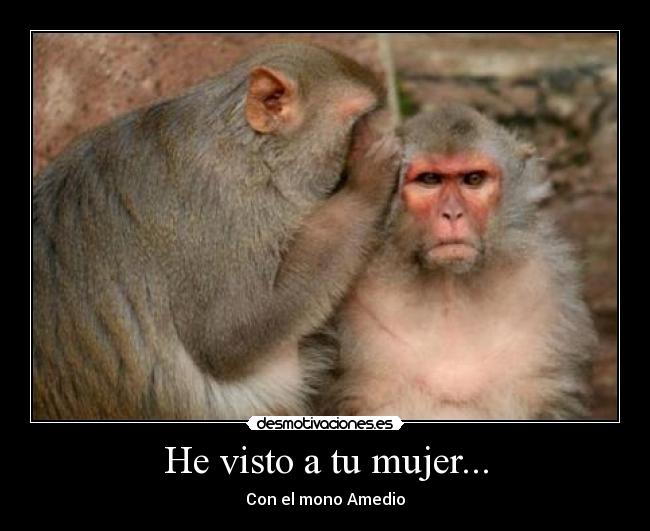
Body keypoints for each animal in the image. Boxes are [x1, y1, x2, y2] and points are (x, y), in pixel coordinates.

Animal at [32, 43, 401, 420]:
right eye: (364, 120)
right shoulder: (222, 208)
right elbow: (228, 335)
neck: (255, 153)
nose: (391, 131)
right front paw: (366, 186)